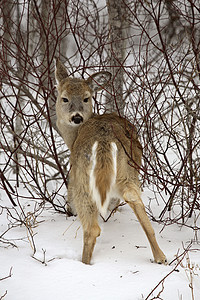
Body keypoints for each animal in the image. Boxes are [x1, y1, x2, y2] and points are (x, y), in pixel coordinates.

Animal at [55, 59, 167, 264]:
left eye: (86, 98)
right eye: (64, 99)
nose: (77, 117)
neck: (72, 139)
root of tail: (104, 143)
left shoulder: (73, 177)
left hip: (84, 181)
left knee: (92, 229)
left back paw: (84, 263)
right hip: (128, 171)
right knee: (133, 197)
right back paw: (161, 257)